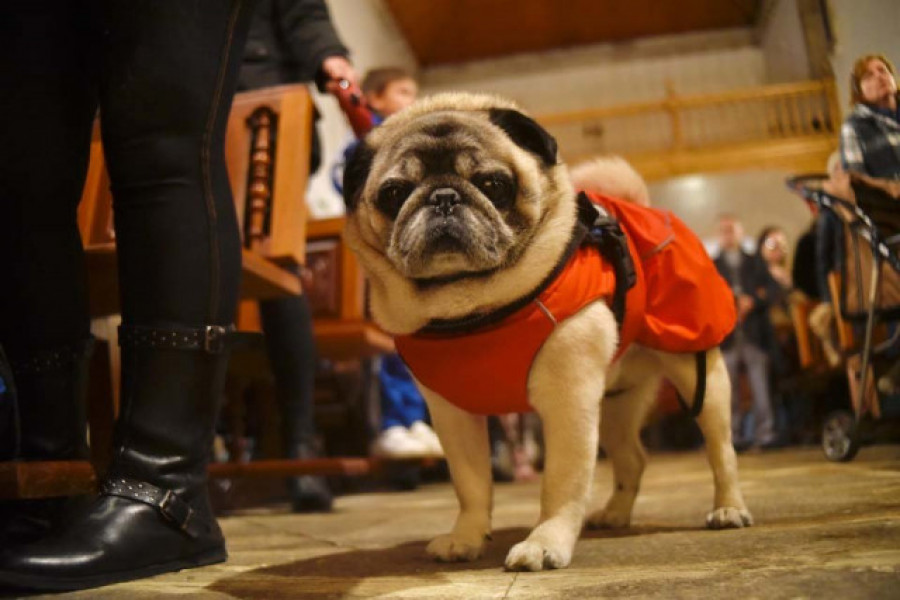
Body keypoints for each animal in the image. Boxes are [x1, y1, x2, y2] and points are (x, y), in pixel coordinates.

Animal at [342, 94, 752, 572]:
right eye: (393, 193)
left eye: (493, 184)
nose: (444, 196)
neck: (474, 309)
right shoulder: (454, 416)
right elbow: (471, 484)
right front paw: (467, 536)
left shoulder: (568, 402)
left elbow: (561, 482)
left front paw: (545, 541)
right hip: (614, 404)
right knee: (632, 459)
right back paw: (615, 514)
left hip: (697, 371)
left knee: (720, 448)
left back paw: (728, 507)